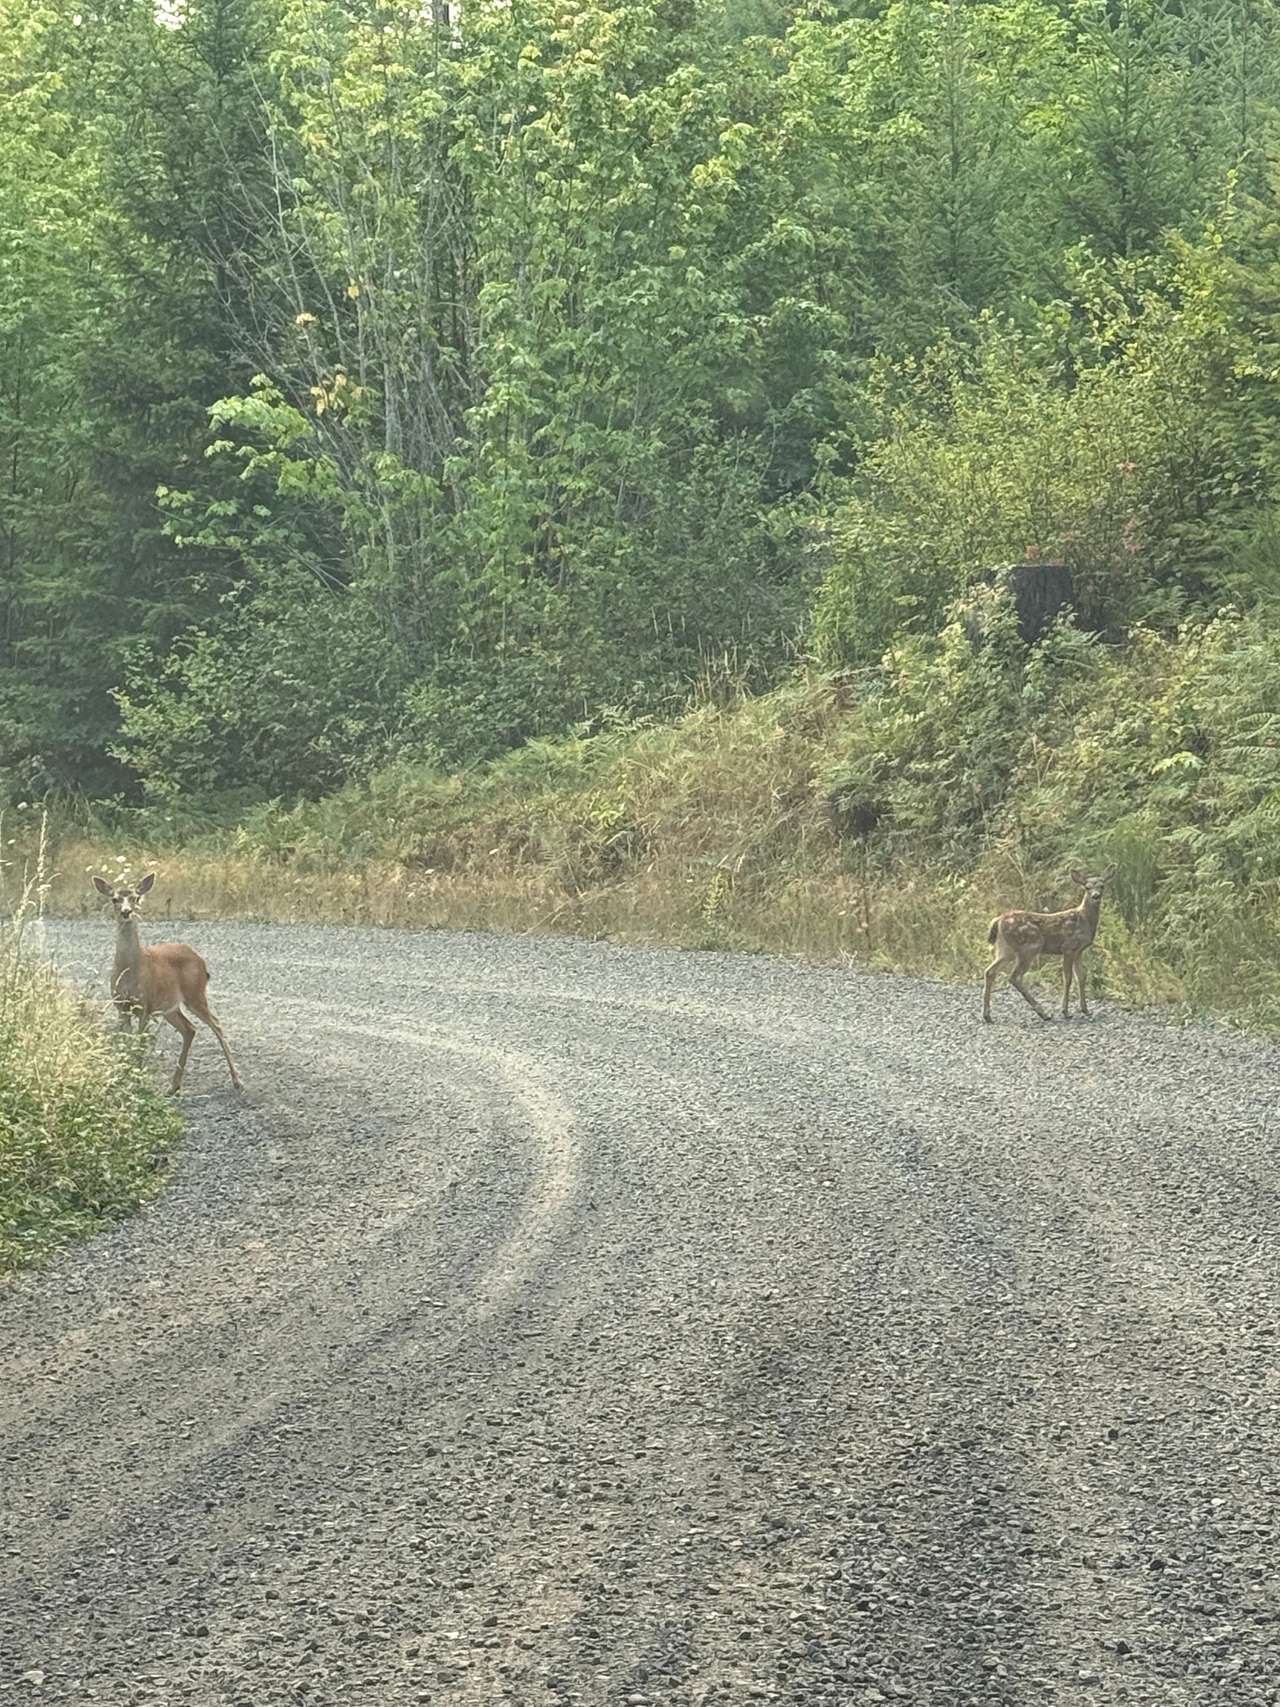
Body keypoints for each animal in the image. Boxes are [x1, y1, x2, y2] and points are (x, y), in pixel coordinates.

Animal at [92, 873, 241, 1094]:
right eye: (114, 899)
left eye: (136, 898)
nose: (127, 912)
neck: (129, 970)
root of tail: (200, 959)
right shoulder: (121, 1006)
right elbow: (127, 1042)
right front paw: (125, 1077)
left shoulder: (145, 1005)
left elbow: (139, 1043)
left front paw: (136, 1079)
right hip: (170, 1006)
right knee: (189, 1029)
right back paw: (174, 1086)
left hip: (195, 993)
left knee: (216, 1024)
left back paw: (237, 1080)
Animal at [982, 869, 1114, 1023]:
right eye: (1087, 887)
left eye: (1102, 886)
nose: (1096, 896)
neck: (1085, 919)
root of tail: (998, 921)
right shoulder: (1068, 947)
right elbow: (1068, 978)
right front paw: (1065, 1011)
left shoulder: (1079, 951)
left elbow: (1081, 976)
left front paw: (1085, 1009)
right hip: (1030, 947)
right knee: (1014, 977)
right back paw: (1043, 1013)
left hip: (1006, 949)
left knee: (990, 971)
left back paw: (987, 1016)